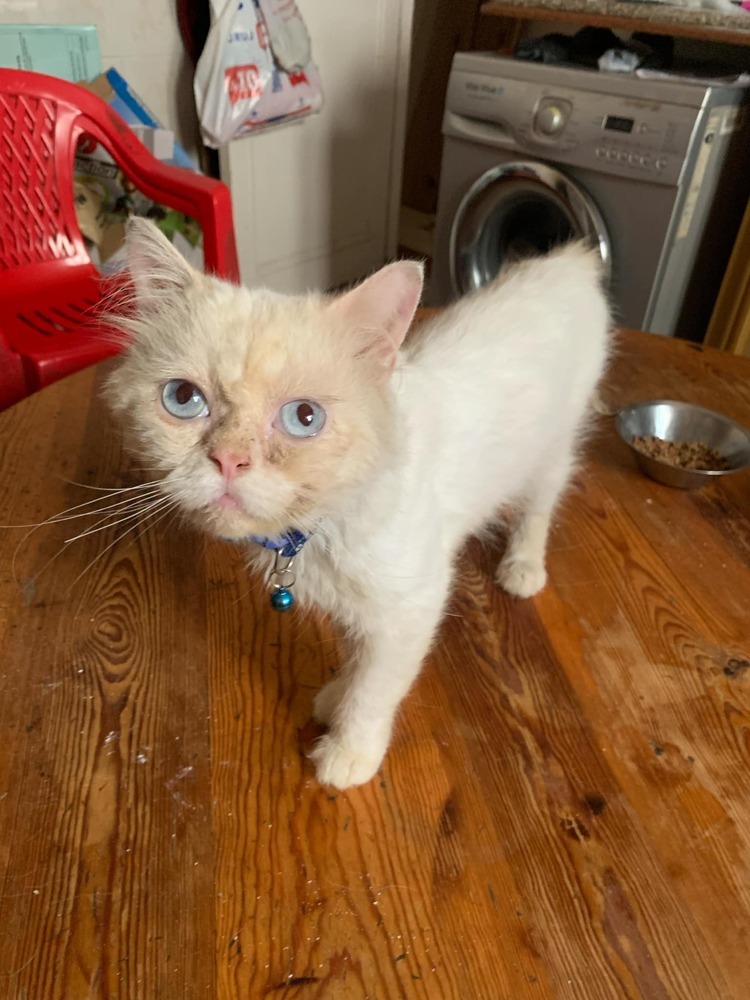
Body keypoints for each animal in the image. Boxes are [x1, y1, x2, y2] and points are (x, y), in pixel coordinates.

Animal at [108, 219, 612, 788]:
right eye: (183, 399)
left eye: (304, 417)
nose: (229, 460)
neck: (317, 530)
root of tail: (567, 262)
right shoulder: (356, 608)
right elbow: (354, 658)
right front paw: (334, 696)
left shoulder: (410, 609)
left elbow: (375, 690)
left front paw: (349, 752)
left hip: (551, 453)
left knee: (538, 510)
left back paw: (522, 569)